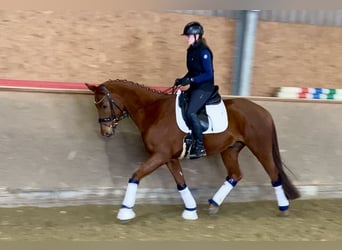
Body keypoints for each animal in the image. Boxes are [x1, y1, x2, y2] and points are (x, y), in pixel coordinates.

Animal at [85, 79, 300, 221]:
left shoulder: (159, 155)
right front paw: (190, 210)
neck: (153, 111)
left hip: (260, 148)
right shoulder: (169, 158)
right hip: (230, 150)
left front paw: (125, 211)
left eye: (104, 105)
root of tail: (263, 111)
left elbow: (135, 176)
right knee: (235, 175)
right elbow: (181, 183)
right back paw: (213, 205)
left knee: (273, 174)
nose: (105, 132)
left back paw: (283, 207)